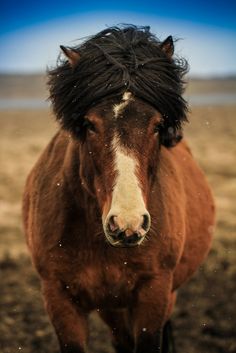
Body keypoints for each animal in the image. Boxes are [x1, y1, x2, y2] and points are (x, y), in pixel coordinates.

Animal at [23, 25, 215, 352]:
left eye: (157, 125)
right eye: (89, 124)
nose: (127, 224)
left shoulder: (155, 295)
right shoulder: (60, 299)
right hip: (111, 306)